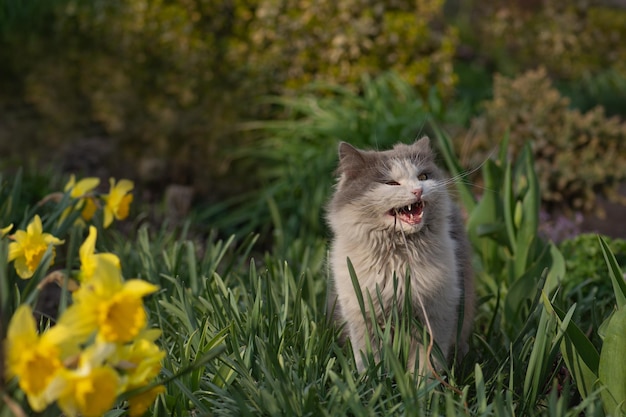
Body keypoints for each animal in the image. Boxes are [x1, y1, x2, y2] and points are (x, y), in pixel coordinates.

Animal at [326, 137, 472, 374]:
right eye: (392, 183)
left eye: (423, 177)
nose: (418, 190)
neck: (398, 257)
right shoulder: (363, 318)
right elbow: (369, 360)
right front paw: (371, 381)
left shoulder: (435, 316)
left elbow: (426, 366)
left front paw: (420, 385)